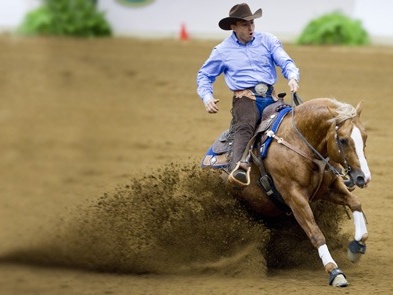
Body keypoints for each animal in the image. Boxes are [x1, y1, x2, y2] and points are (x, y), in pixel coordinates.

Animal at [202, 96, 370, 288]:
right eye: (343, 140)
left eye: (365, 136)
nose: (363, 177)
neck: (301, 143)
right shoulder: (295, 197)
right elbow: (316, 234)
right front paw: (335, 271)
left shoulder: (329, 188)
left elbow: (355, 203)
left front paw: (356, 247)